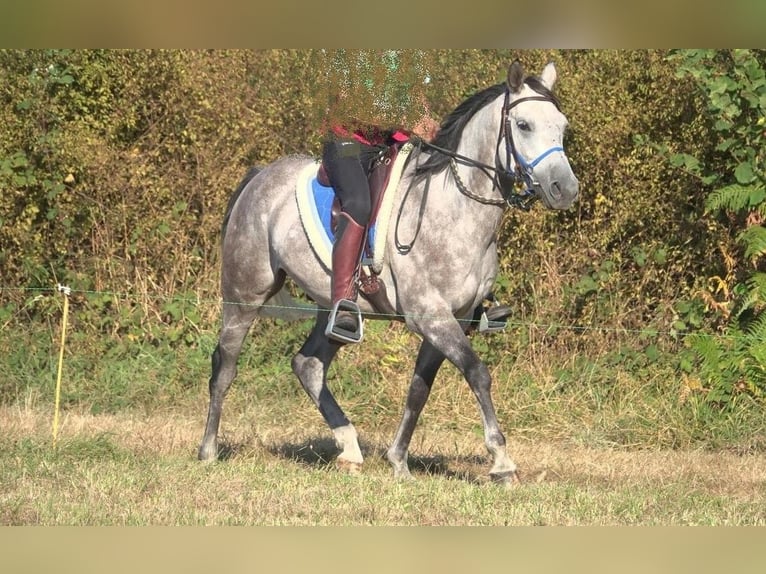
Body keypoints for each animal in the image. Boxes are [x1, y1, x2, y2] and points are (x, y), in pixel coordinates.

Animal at [201, 59, 580, 486]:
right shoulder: (430, 316)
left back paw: (349, 448)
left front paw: (398, 461)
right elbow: (477, 372)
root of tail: (259, 176)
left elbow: (418, 390)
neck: (455, 211)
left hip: (333, 308)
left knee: (308, 365)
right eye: (523, 125)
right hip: (244, 296)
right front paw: (501, 462)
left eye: (562, 126)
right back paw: (208, 450)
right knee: (225, 366)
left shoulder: (449, 320)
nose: (564, 188)